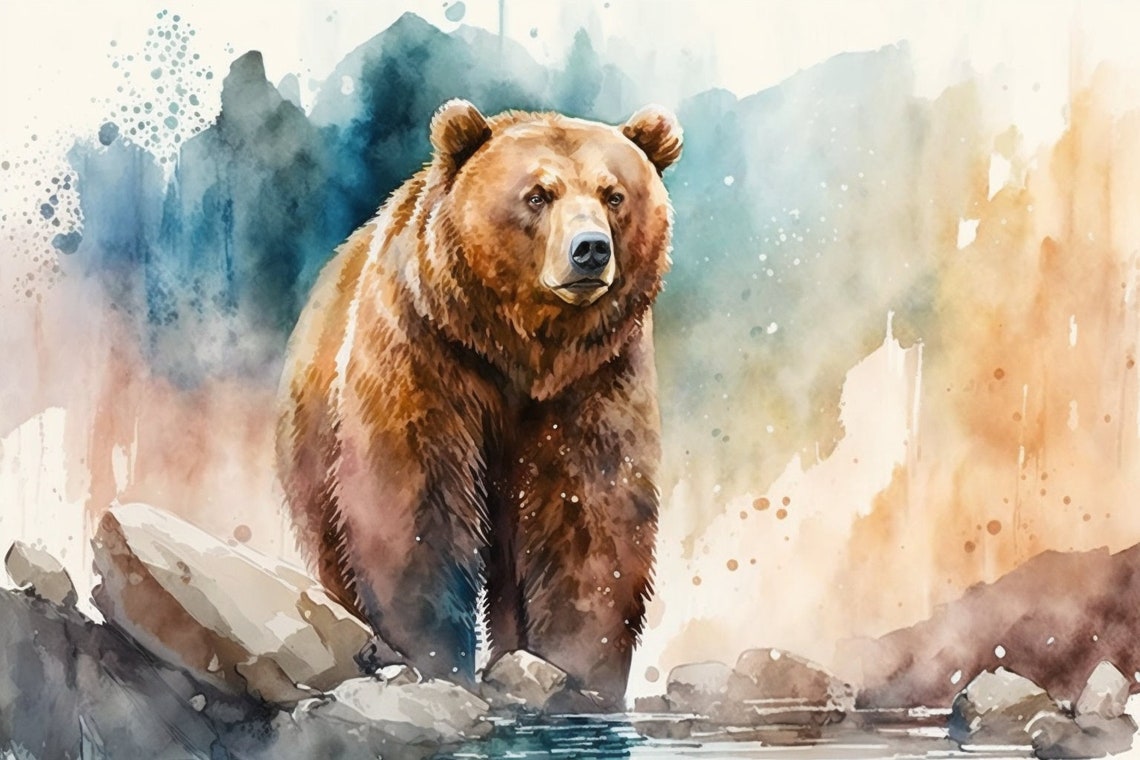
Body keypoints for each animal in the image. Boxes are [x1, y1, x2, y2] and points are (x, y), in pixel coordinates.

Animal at [276, 99, 682, 707]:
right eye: (537, 194)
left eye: (614, 195)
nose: (590, 250)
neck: (523, 351)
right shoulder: (426, 345)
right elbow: (414, 496)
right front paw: (436, 658)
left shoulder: (597, 376)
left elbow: (590, 514)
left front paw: (580, 673)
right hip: (311, 444)